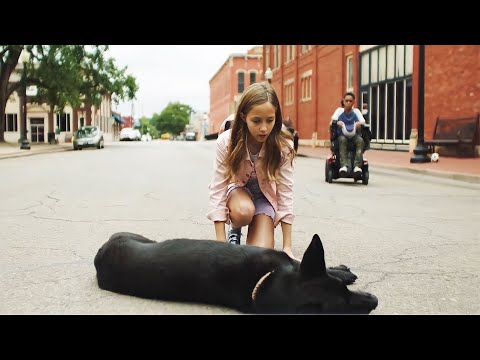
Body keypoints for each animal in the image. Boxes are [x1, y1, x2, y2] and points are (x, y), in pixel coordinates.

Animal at [94, 233, 378, 312]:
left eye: (345, 292)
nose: (375, 300)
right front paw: (343, 272)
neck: (265, 281)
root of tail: (100, 254)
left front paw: (341, 273)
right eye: (344, 303)